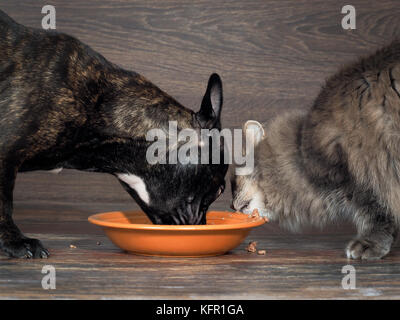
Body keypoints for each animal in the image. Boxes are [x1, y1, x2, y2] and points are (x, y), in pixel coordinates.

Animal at [230, 40, 400, 260]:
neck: (299, 154)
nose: (231, 205)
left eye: (234, 181)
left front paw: (369, 244)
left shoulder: (361, 176)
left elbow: (376, 213)